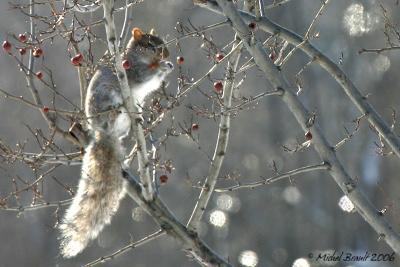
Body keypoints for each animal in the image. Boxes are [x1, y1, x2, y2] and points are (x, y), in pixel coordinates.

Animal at [59, 28, 172, 258]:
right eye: (150, 45)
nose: (166, 54)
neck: (137, 58)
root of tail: (103, 131)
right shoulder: (132, 72)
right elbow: (145, 75)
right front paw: (163, 67)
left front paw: (167, 65)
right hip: (106, 97)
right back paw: (117, 109)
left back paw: (137, 118)